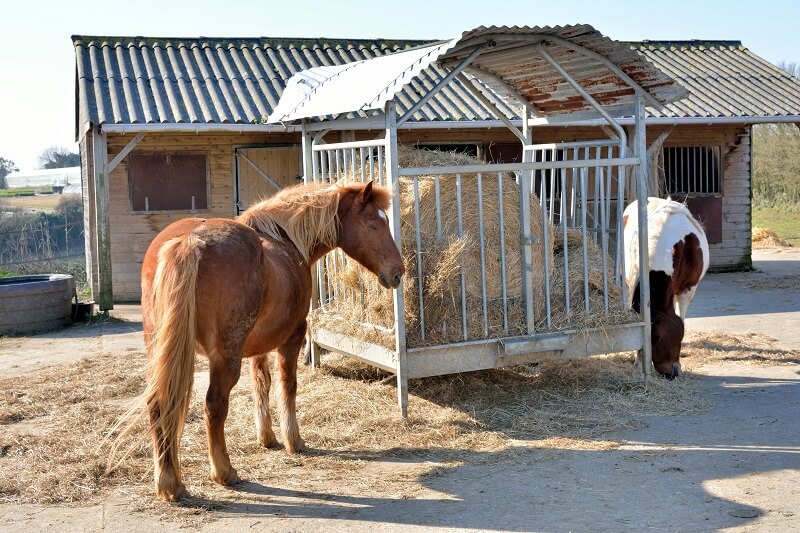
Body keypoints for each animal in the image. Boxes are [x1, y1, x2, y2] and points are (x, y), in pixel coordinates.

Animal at [114, 182, 400, 498]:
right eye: (373, 224)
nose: (398, 272)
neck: (286, 239)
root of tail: (189, 241)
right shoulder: (293, 337)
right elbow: (288, 386)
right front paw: (293, 441)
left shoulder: (256, 347)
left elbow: (261, 383)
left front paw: (267, 437)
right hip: (223, 358)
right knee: (213, 406)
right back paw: (224, 472)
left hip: (165, 352)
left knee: (160, 405)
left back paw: (170, 483)